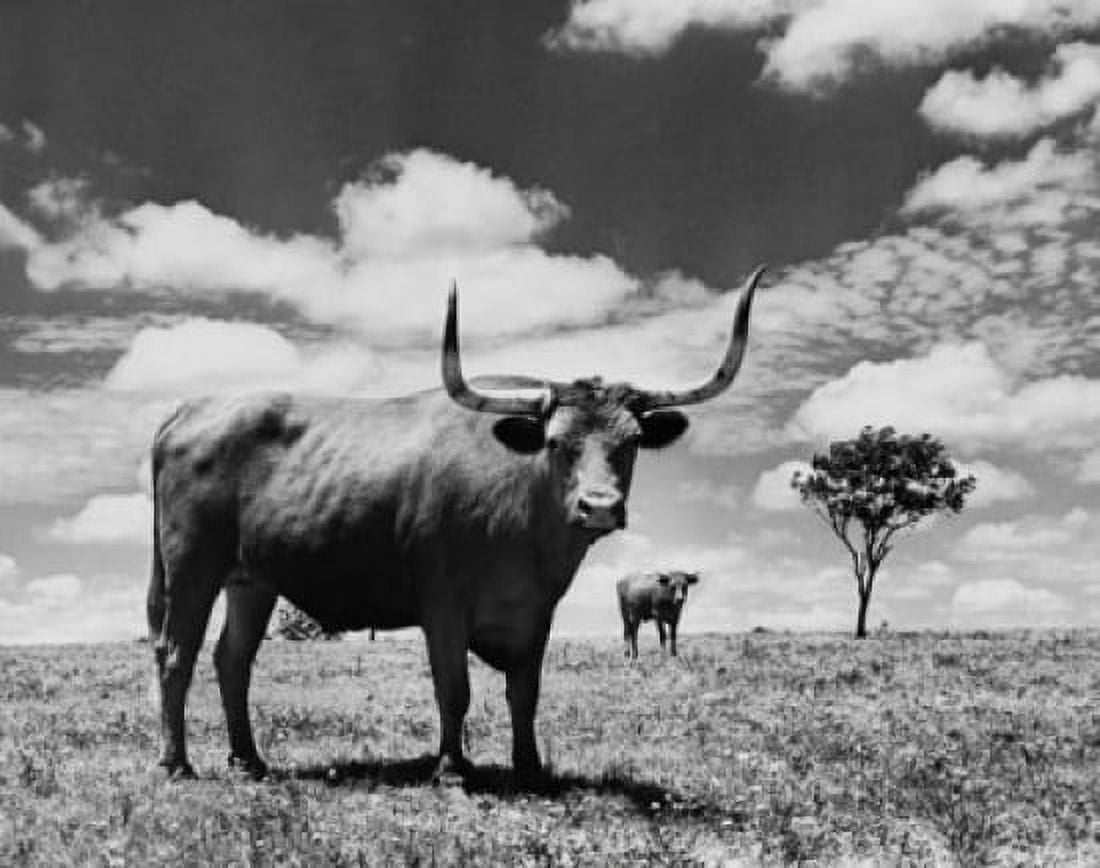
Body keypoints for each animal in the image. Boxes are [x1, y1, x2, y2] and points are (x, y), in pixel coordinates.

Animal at [146, 267, 764, 786]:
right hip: (192, 565)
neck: (523, 524)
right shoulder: (442, 605)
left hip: (252, 579)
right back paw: (177, 764)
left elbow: (525, 692)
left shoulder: (536, 611)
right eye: (556, 442)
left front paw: (529, 768)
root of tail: (190, 410)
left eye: (632, 442)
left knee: (232, 660)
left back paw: (249, 761)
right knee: (176, 655)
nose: (601, 506)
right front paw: (451, 767)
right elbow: (455, 689)